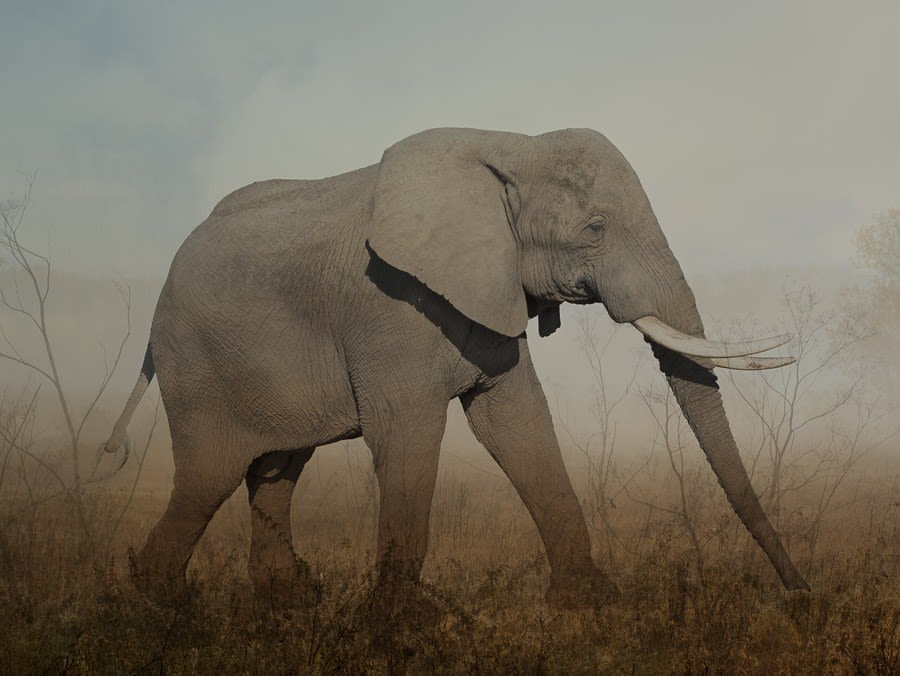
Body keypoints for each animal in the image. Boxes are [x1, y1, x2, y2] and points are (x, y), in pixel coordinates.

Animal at [104, 127, 809, 611]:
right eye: (595, 228)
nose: (803, 597)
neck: (512, 146)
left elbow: (518, 422)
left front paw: (590, 604)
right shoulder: (388, 306)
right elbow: (407, 433)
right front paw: (401, 625)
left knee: (276, 471)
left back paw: (287, 606)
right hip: (198, 366)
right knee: (209, 477)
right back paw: (165, 608)